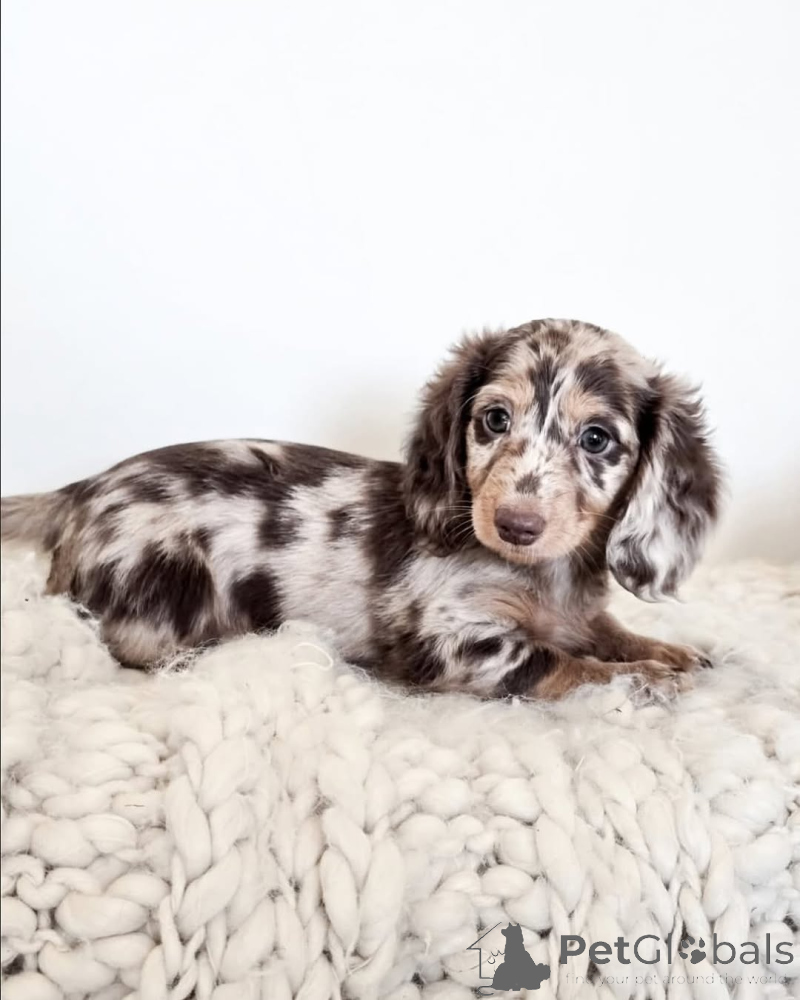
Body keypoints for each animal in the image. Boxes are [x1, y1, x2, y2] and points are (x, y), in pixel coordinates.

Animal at [1, 319, 722, 699]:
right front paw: (645, 677)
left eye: (597, 438)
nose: (516, 526)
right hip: (165, 595)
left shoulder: (577, 613)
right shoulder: (456, 642)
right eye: (494, 419)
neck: (545, 578)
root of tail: (80, 491)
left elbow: (604, 629)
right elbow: (564, 664)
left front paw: (671, 651)